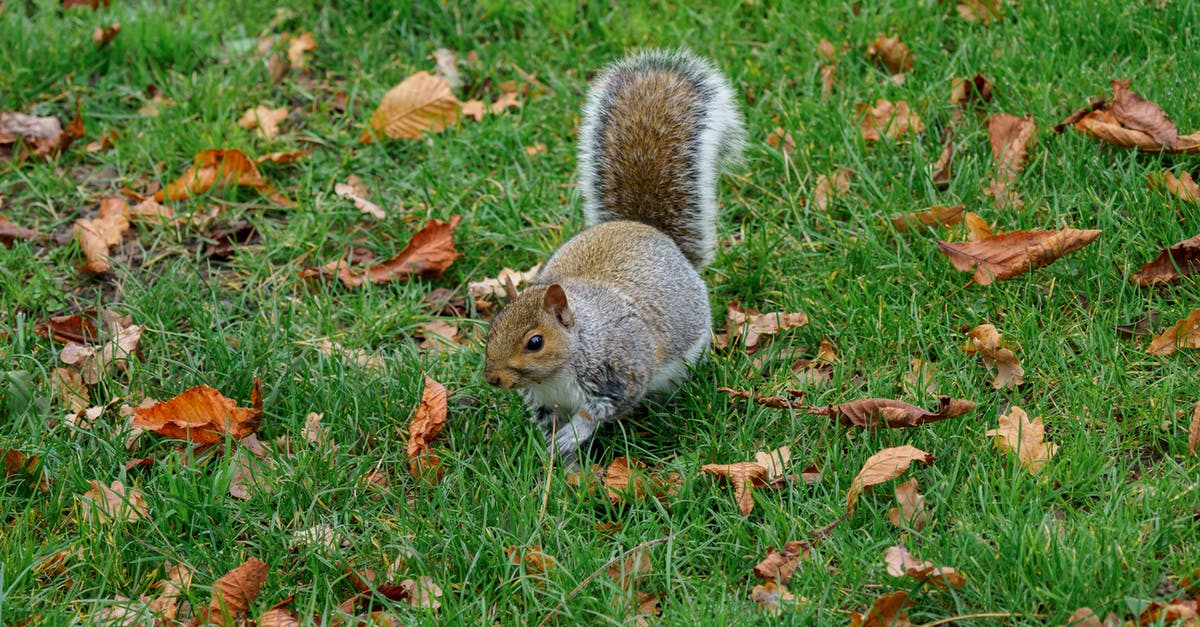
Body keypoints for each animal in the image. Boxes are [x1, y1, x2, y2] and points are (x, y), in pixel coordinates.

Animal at [482, 47, 744, 458]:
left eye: (535, 342)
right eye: (492, 328)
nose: (492, 378)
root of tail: (645, 228)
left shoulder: (623, 369)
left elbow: (602, 410)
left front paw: (570, 437)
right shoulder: (544, 401)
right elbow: (546, 422)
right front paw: (550, 452)